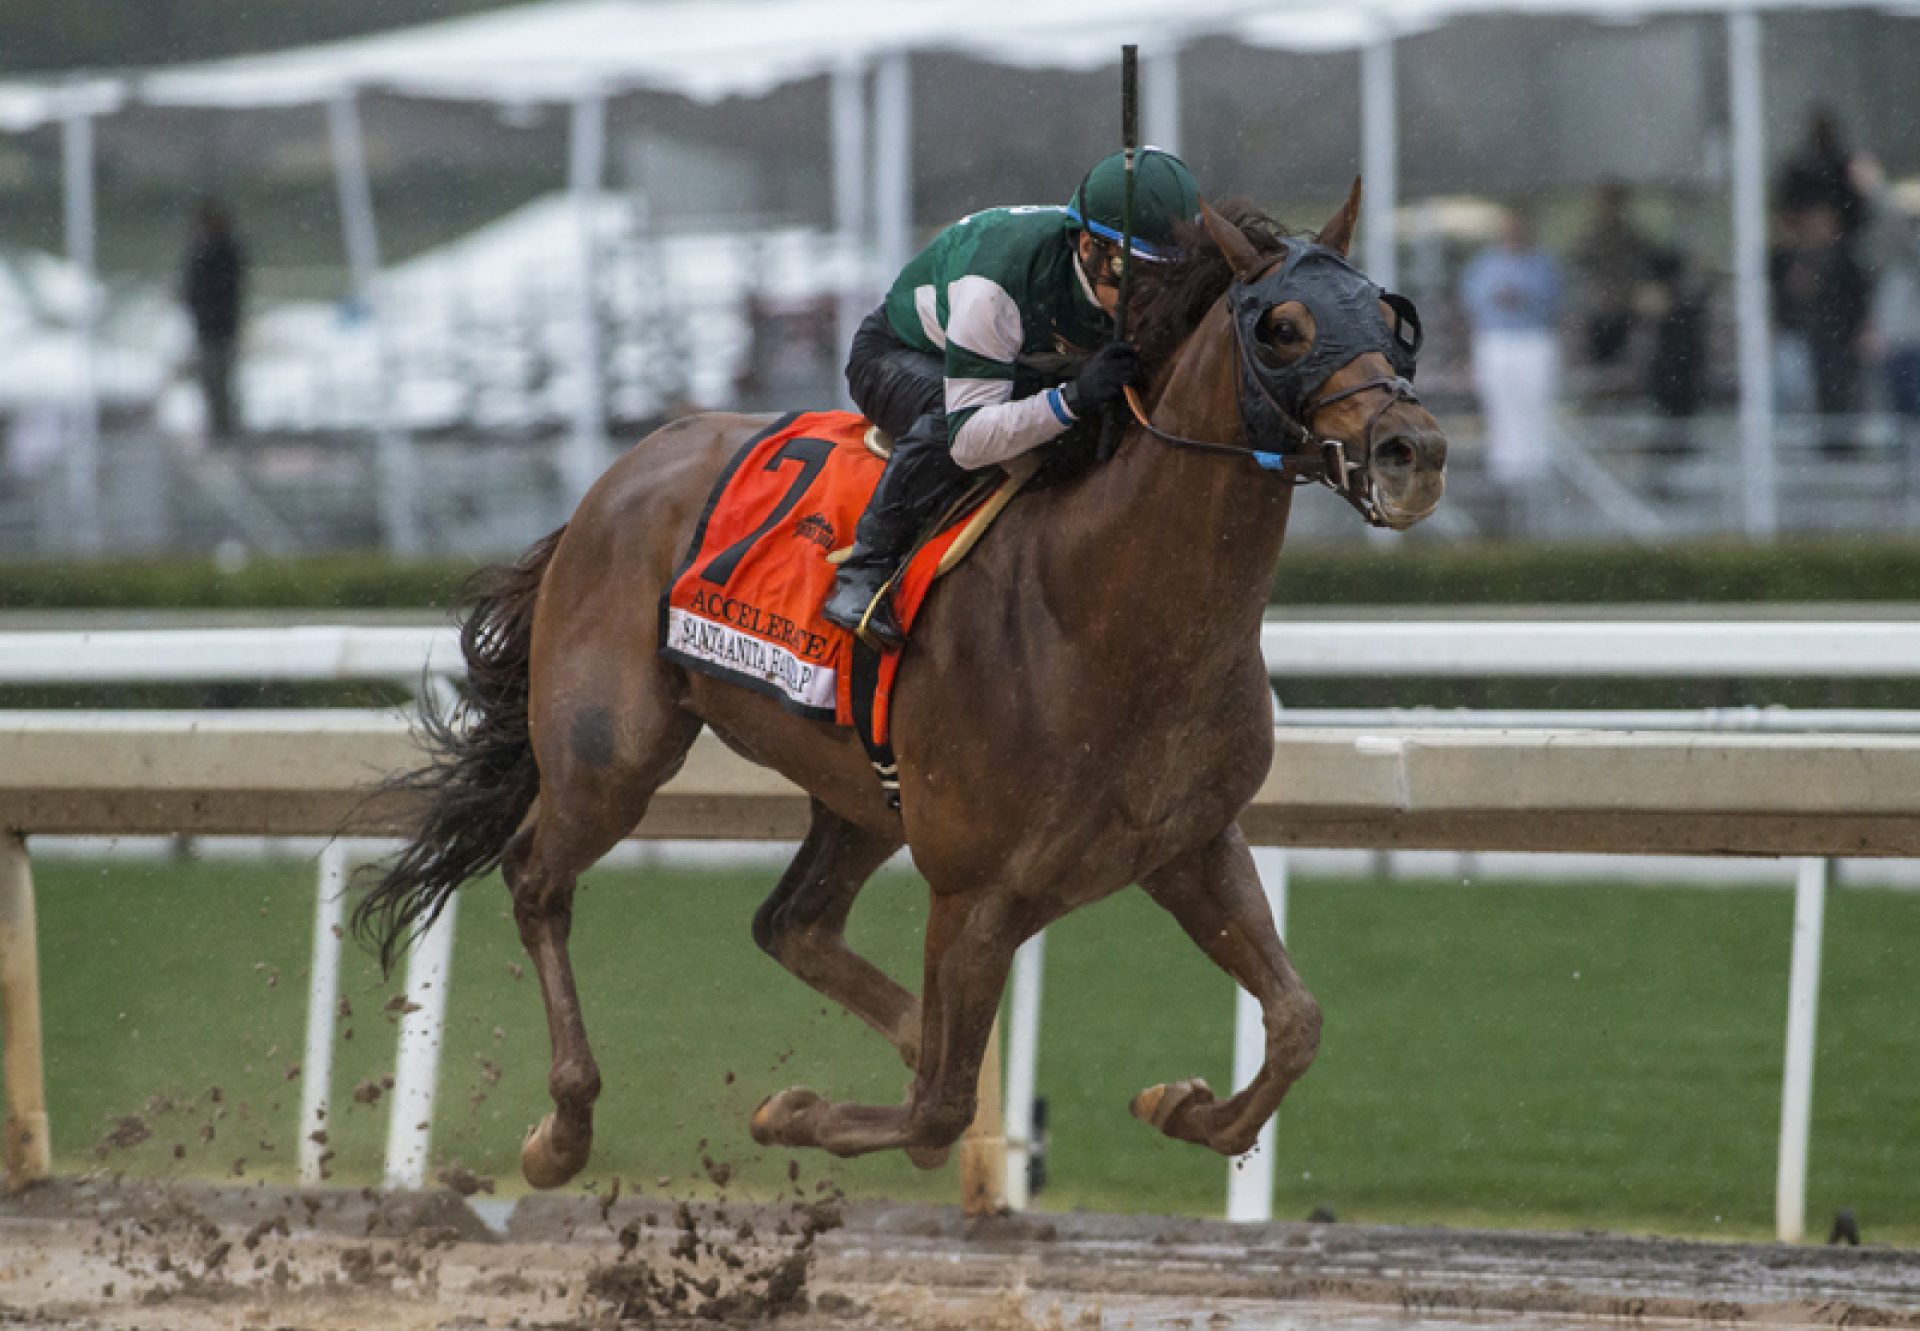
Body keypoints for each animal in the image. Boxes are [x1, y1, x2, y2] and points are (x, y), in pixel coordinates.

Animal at [357, 184, 1443, 1183]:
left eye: (1388, 314)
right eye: (1285, 326)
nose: (1415, 453)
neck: (1110, 607)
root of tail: (623, 470)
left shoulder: (1190, 844)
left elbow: (1297, 1019)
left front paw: (1183, 1104)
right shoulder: (977, 889)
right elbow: (937, 1107)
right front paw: (793, 1110)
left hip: (860, 790)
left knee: (790, 922)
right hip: (609, 748)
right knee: (538, 881)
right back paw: (562, 1129)